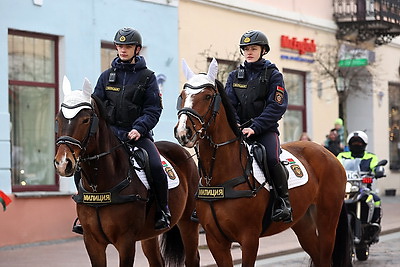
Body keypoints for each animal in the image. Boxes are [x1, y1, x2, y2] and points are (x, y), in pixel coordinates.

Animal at [54, 78, 200, 267]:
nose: (63, 163)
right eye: (58, 119)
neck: (100, 183)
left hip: (187, 223)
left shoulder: (126, 242)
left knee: (192, 258)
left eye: (85, 120)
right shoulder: (92, 242)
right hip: (149, 236)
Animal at [174, 60, 350, 267]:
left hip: (327, 221)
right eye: (182, 95)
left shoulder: (249, 238)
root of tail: (329, 154)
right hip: (303, 223)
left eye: (208, 96)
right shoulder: (215, 240)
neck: (218, 176)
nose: (183, 132)